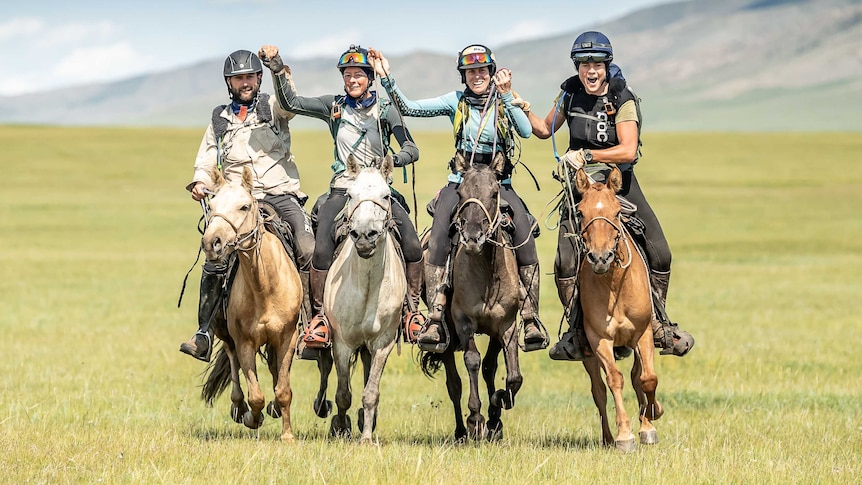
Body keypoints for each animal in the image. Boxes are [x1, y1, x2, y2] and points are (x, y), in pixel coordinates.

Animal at [199, 166, 304, 442]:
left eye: (244, 206)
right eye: (211, 205)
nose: (211, 243)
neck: (264, 286)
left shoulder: (287, 337)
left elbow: (283, 389)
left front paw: (287, 435)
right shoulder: (244, 341)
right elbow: (255, 394)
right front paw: (252, 418)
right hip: (225, 334)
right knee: (233, 364)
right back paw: (239, 408)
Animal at [324, 153, 404, 440]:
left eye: (386, 195)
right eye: (350, 194)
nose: (364, 236)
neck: (368, 285)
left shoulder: (383, 342)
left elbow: (371, 392)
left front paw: (366, 437)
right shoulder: (342, 343)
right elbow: (342, 394)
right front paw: (340, 428)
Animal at [422, 153, 524, 440]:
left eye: (494, 192)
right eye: (460, 193)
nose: (471, 237)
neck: (487, 275)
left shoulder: (505, 324)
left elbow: (508, 374)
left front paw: (497, 410)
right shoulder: (463, 321)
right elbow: (473, 361)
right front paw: (476, 419)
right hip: (445, 335)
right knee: (453, 383)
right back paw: (460, 430)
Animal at [576, 165, 664, 450]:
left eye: (616, 211)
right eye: (580, 212)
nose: (600, 257)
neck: (614, 284)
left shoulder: (643, 333)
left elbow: (646, 378)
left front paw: (651, 418)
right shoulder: (599, 339)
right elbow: (614, 379)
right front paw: (624, 435)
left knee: (638, 377)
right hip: (588, 354)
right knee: (599, 390)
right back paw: (607, 437)